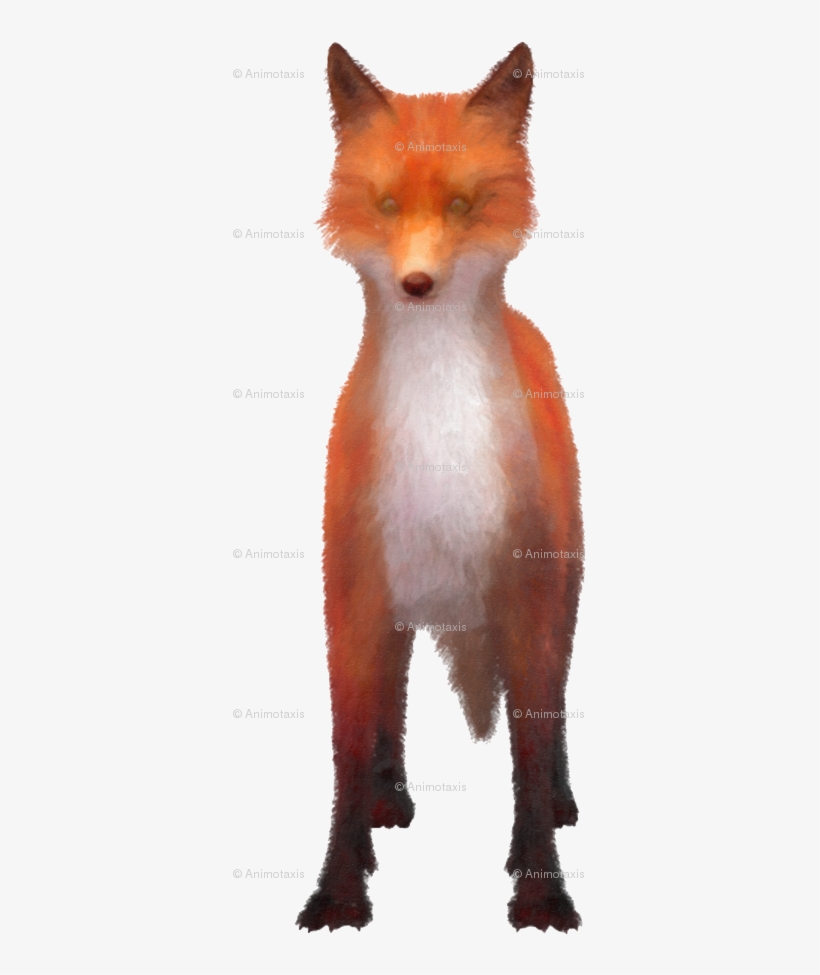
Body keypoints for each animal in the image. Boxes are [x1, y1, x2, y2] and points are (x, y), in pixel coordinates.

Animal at [297, 42, 583, 933]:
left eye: (463, 203)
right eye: (387, 203)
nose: (417, 283)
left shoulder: (527, 601)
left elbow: (529, 752)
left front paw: (539, 887)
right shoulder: (352, 601)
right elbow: (348, 755)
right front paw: (340, 889)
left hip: (566, 591)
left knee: (554, 715)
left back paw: (561, 801)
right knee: (393, 708)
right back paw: (391, 799)